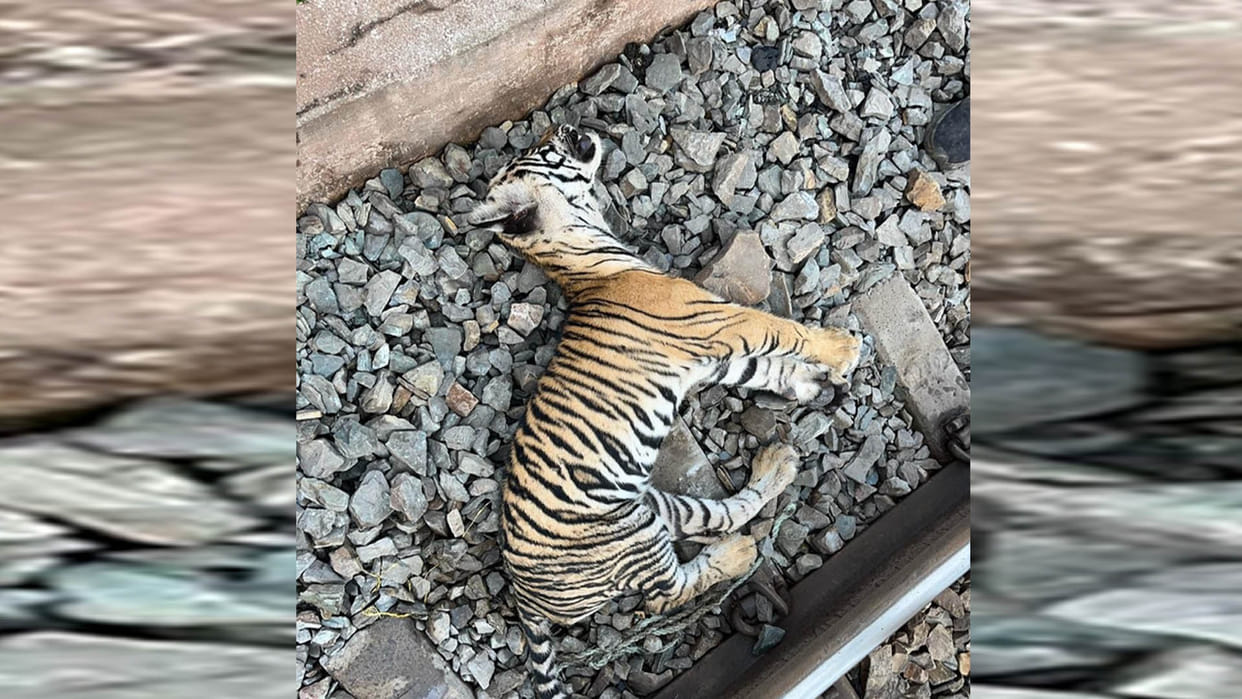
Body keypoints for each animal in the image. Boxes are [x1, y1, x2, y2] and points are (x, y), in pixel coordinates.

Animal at [466, 124, 862, 698]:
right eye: (543, 150)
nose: (568, 124)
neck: (581, 258)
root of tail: (523, 597)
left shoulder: (714, 357)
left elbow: (765, 369)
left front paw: (807, 380)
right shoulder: (721, 323)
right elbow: (783, 331)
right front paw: (840, 348)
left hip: (650, 507)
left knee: (720, 514)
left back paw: (777, 469)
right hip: (629, 538)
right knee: (663, 594)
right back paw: (740, 553)